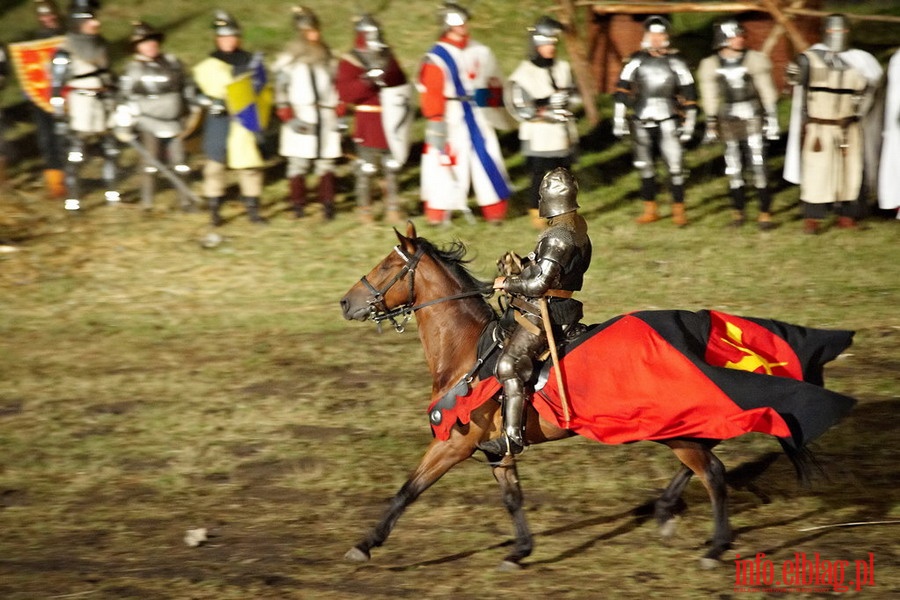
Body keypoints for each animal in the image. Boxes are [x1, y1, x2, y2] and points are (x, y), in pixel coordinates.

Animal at [340, 223, 852, 568]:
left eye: (386, 266)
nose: (346, 303)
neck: (467, 350)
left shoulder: (454, 443)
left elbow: (408, 490)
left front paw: (364, 544)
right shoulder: (493, 448)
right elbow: (512, 497)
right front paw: (520, 550)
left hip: (674, 429)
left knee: (713, 472)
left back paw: (714, 545)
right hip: (673, 425)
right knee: (703, 462)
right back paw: (665, 513)